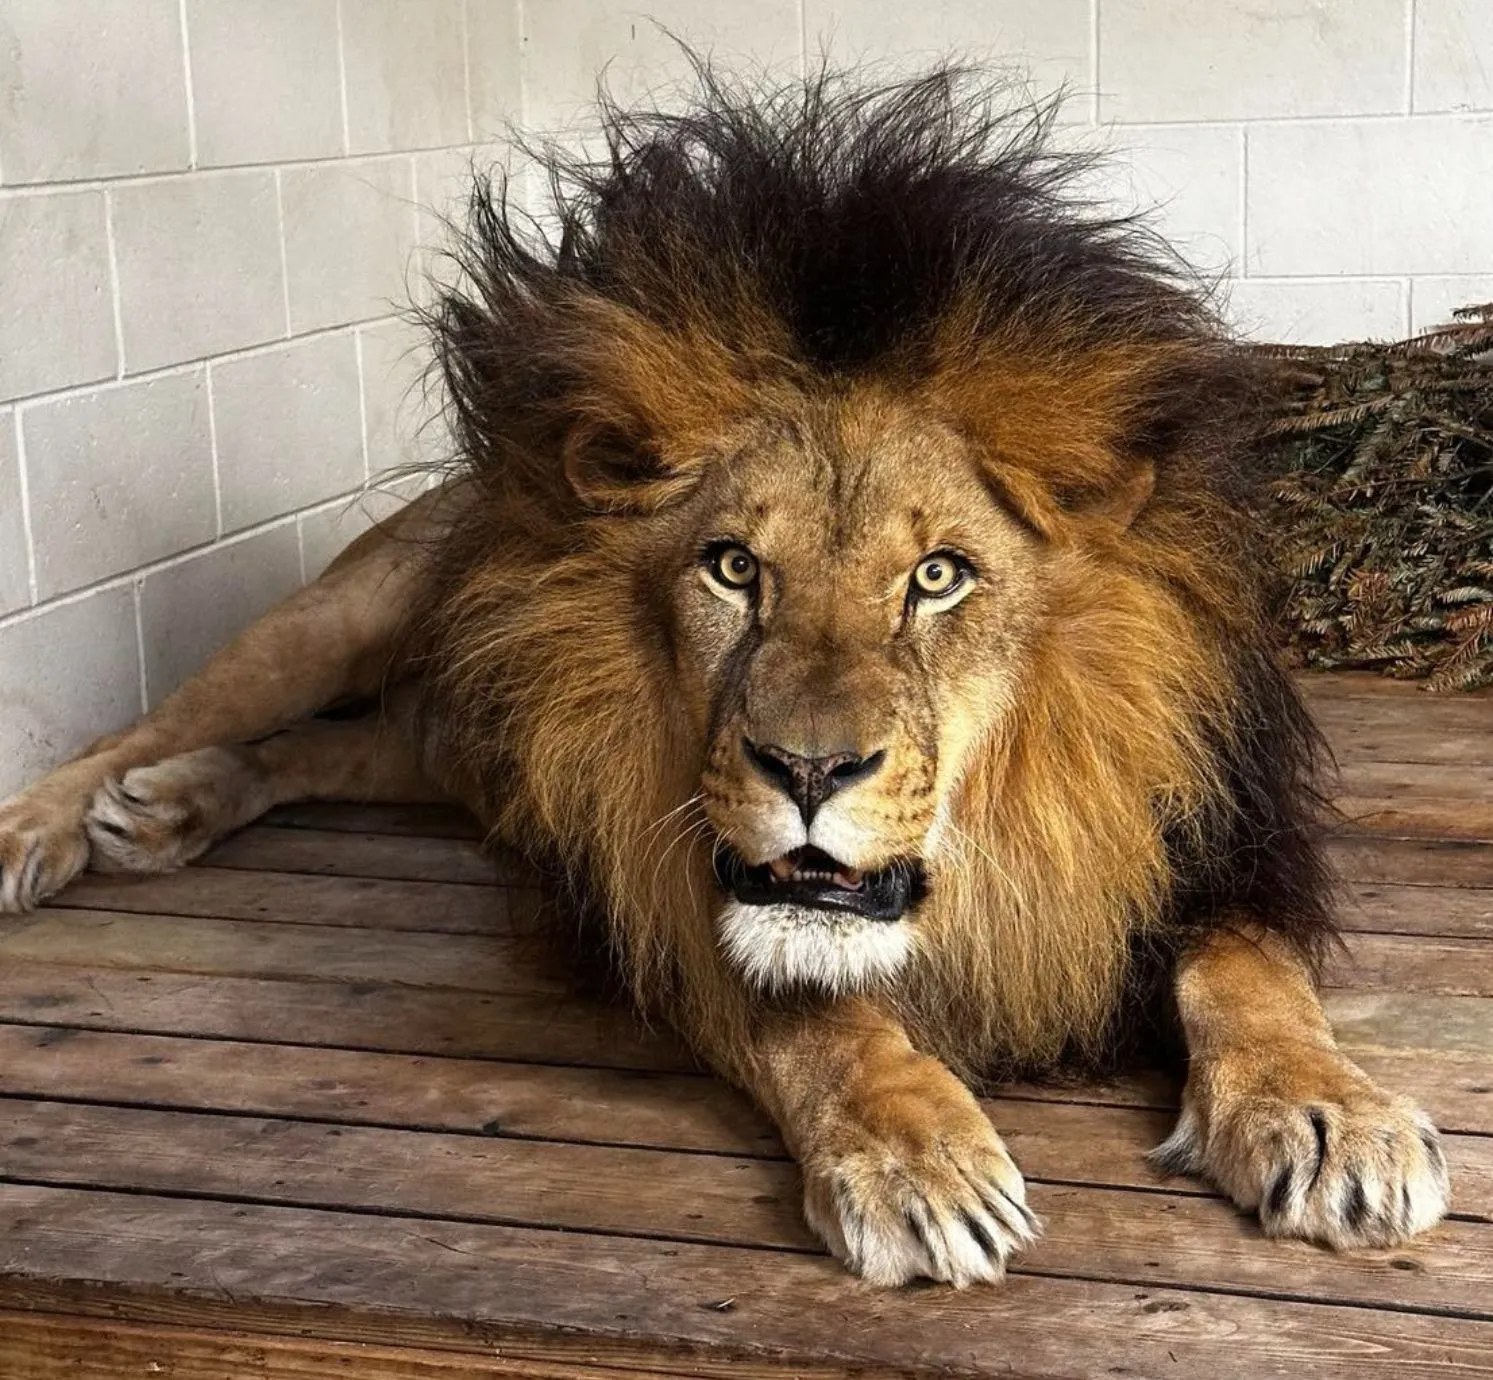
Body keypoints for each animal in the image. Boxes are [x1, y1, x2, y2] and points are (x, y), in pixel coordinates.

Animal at [0, 70, 1445, 1290]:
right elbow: (805, 1013)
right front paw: (912, 1153)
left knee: (342, 748)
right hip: (340, 617)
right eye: (734, 567)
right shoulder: (647, 874)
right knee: (174, 713)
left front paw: (1332, 1113)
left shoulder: (1204, 843)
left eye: (937, 577)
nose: (807, 771)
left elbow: (1252, 974)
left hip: (466, 744)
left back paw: (177, 802)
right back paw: (59, 822)